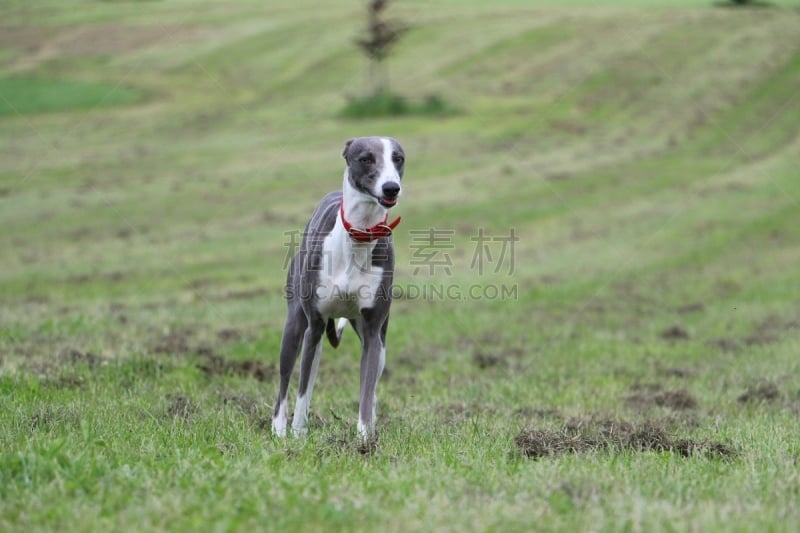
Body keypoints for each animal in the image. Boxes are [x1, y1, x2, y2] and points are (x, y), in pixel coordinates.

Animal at [274, 137, 406, 440]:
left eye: (398, 158)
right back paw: (279, 427)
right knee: (288, 379)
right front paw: (298, 434)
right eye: (366, 158)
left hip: (375, 340)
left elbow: (366, 391)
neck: (359, 235)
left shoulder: (372, 330)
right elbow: (302, 389)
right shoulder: (314, 323)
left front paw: (365, 439)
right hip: (297, 325)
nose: (391, 188)